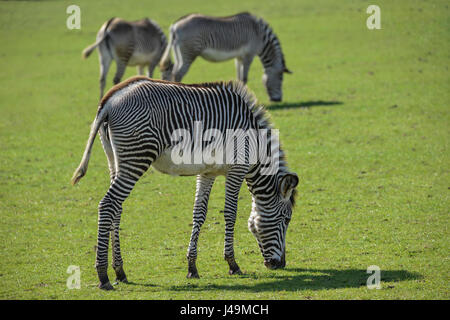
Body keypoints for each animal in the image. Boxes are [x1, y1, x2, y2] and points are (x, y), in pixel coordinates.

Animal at [71, 75, 298, 290]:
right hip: (137, 157)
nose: (281, 264)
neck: (254, 143)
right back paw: (103, 276)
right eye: (286, 220)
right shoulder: (237, 169)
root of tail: (109, 100)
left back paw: (120, 271)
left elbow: (199, 213)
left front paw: (192, 267)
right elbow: (230, 214)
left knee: (117, 208)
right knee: (108, 204)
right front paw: (232, 264)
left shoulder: (207, 172)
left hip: (115, 160)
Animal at [160, 11, 294, 102]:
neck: (260, 34)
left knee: (173, 71)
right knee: (178, 73)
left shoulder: (239, 57)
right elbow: (244, 78)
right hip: (189, 53)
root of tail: (175, 25)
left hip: (179, 54)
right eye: (281, 77)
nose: (278, 100)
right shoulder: (249, 55)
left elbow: (239, 77)